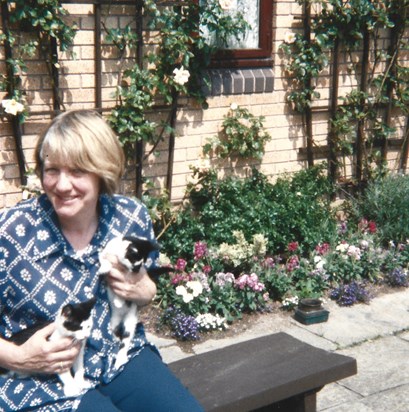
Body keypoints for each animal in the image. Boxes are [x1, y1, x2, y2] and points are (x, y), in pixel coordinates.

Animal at [98, 235, 170, 370]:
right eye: (136, 265)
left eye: (141, 265)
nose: (137, 271)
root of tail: (122, 317)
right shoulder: (105, 252)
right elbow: (103, 259)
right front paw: (104, 268)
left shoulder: (126, 277)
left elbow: (123, 285)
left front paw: (119, 300)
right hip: (114, 322)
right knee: (116, 332)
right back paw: (116, 339)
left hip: (130, 322)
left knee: (125, 341)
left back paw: (120, 359)